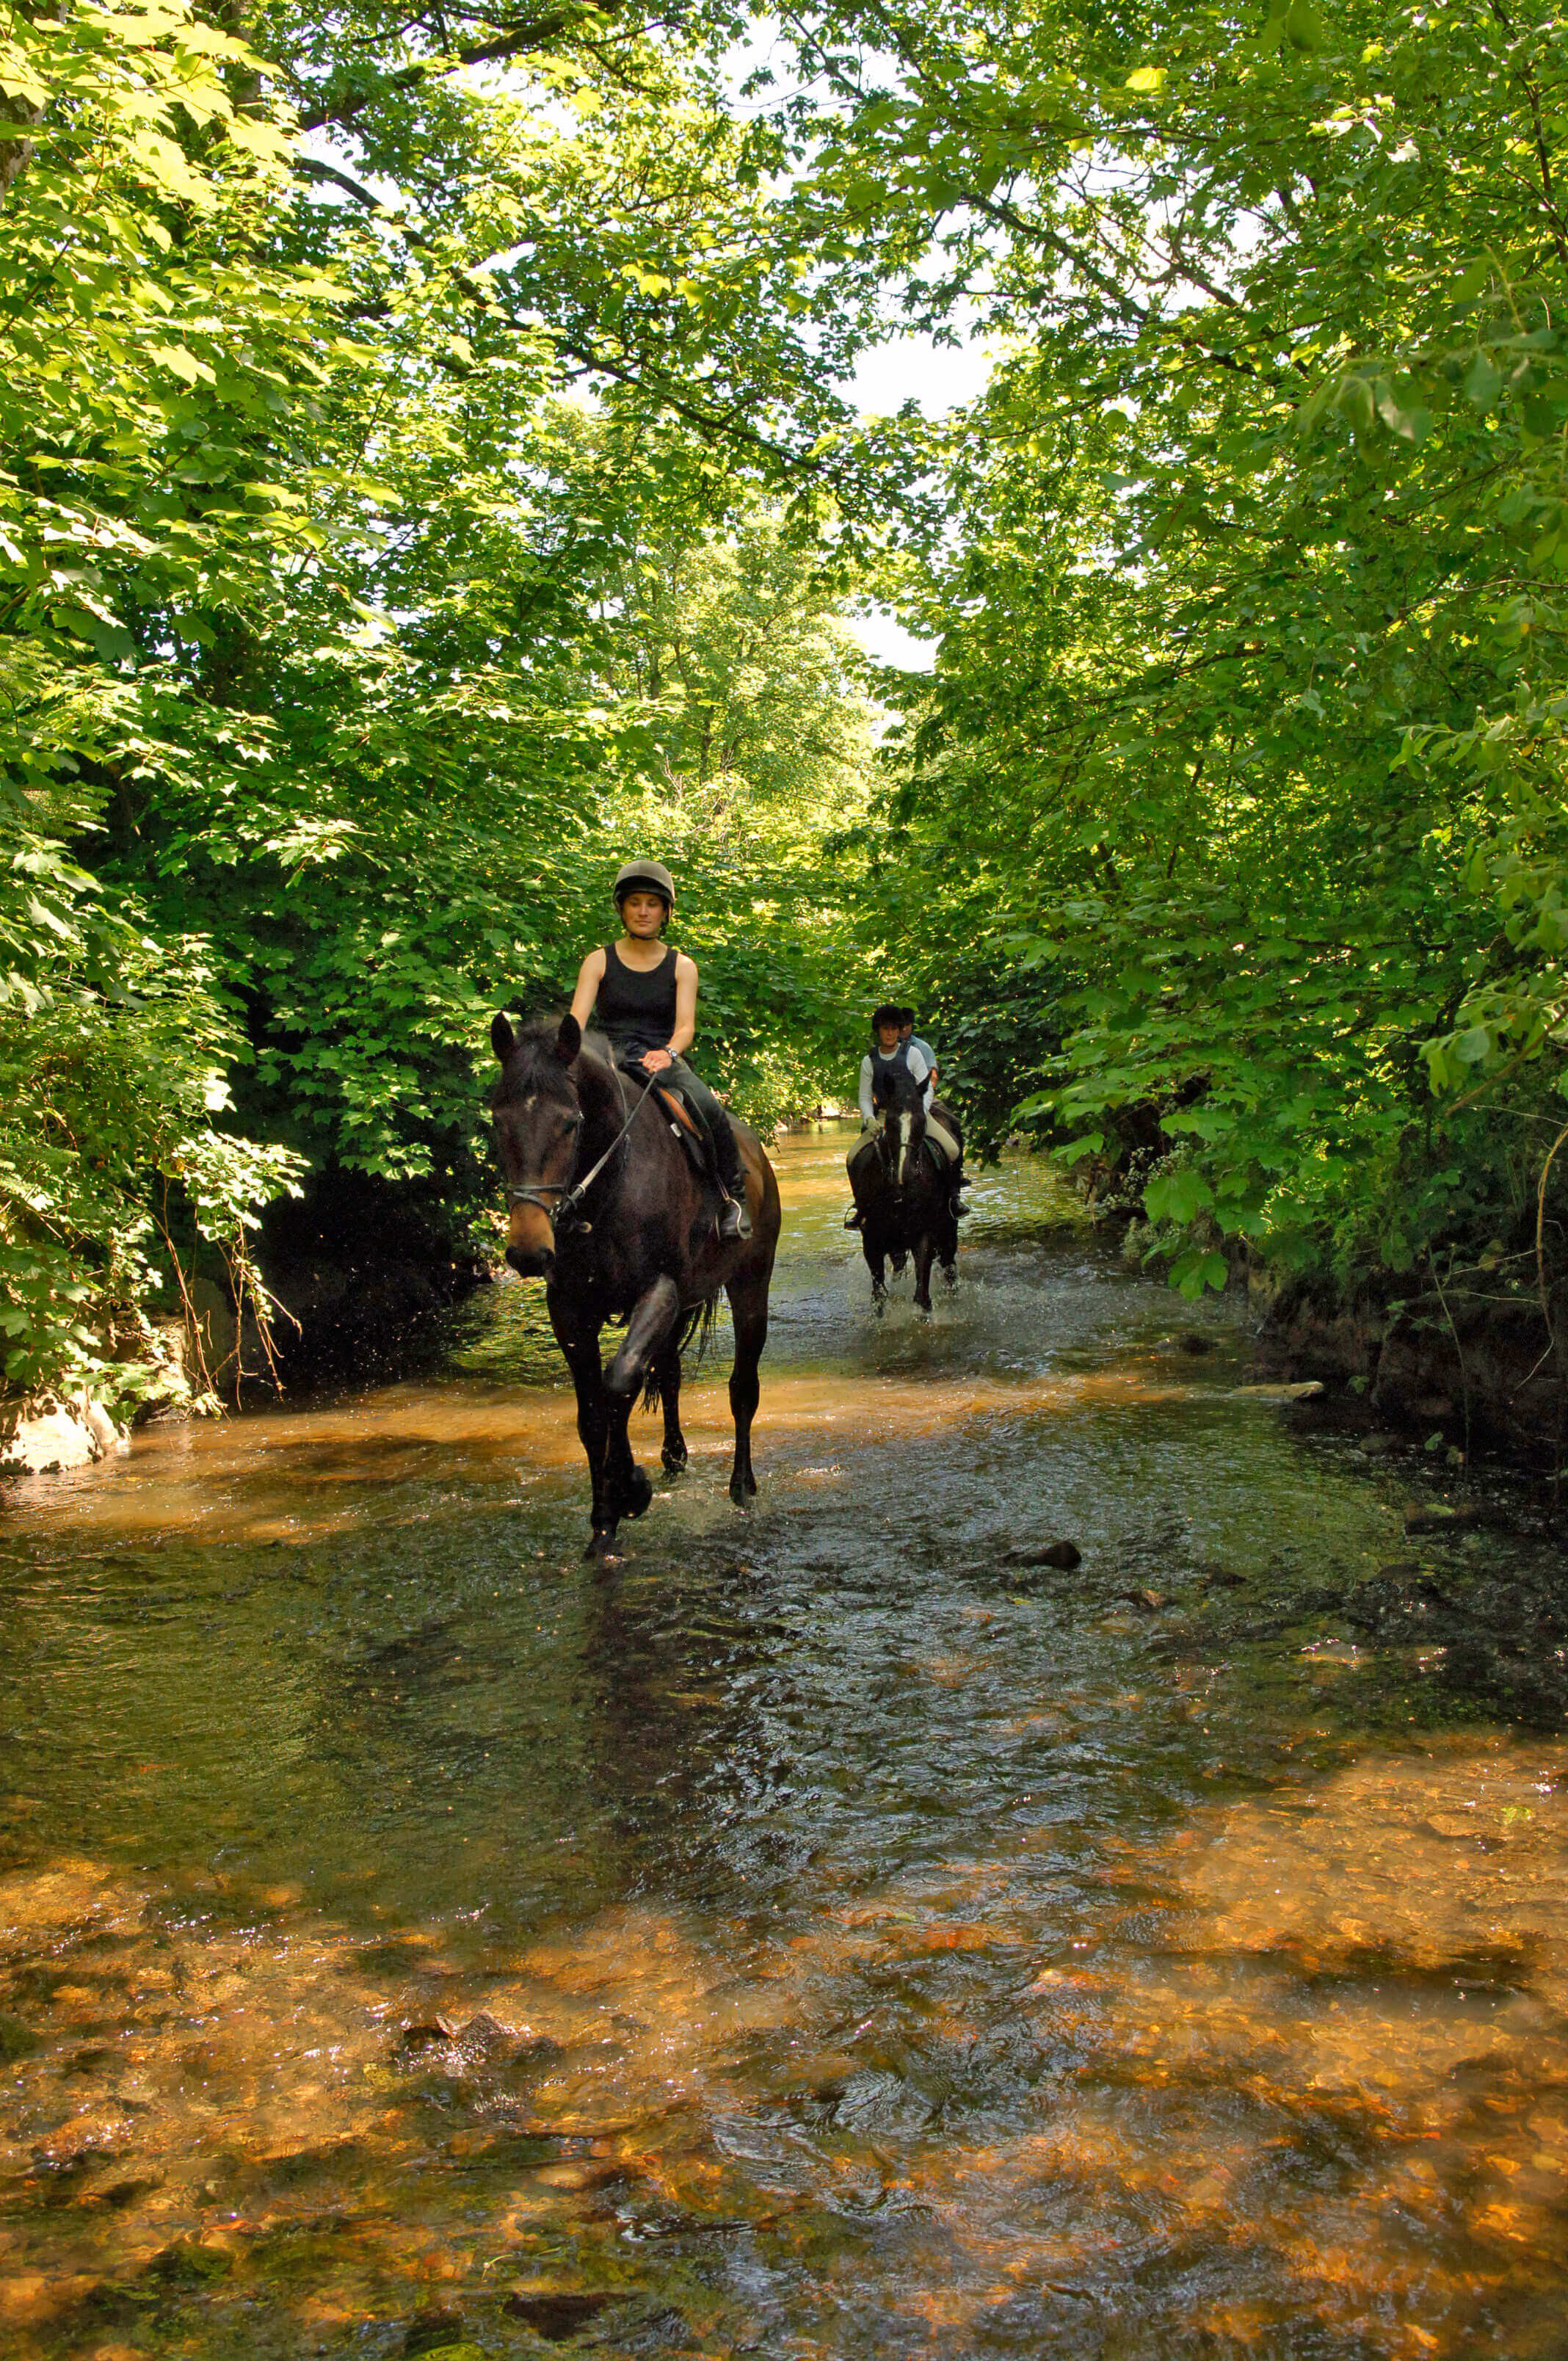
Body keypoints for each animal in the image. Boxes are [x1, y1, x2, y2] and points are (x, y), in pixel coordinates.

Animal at [491, 1010, 784, 1548]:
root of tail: (756, 1152)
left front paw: (630, 1488)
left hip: (750, 1285)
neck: (610, 1189)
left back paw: (742, 1487)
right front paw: (603, 1523)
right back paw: (673, 1458)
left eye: (571, 1123)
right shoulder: (570, 1309)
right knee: (668, 1375)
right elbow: (593, 1412)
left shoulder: (659, 1291)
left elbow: (620, 1381)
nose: (527, 1250)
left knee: (742, 1389)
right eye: (499, 1121)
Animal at [850, 1062, 963, 1321]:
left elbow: (922, 1296)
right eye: (890, 1122)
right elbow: (879, 1297)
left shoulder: (924, 1234)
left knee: (949, 1267)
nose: (907, 1173)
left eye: (921, 1121)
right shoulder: (872, 1239)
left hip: (948, 1228)